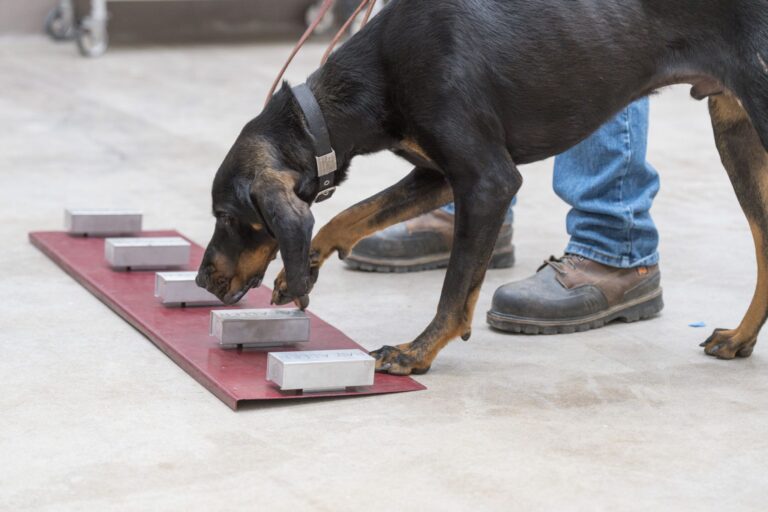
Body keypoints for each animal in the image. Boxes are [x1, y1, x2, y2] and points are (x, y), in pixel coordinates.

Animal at [195, 0, 768, 376]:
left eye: (226, 218)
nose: (201, 280)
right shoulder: (439, 176)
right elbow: (352, 213)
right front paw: (305, 266)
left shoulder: (488, 181)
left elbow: (455, 289)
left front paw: (416, 352)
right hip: (735, 133)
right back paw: (741, 338)